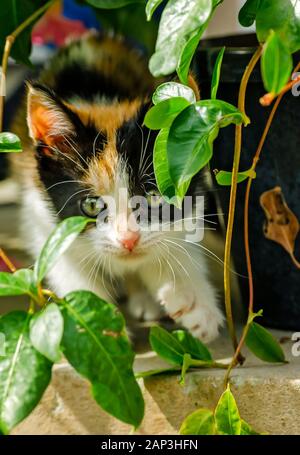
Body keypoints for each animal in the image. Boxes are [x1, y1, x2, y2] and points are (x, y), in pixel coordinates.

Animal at [11, 33, 223, 342]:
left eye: (154, 198)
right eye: (91, 205)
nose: (128, 240)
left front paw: (192, 298)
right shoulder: (42, 216)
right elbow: (71, 272)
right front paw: (97, 329)